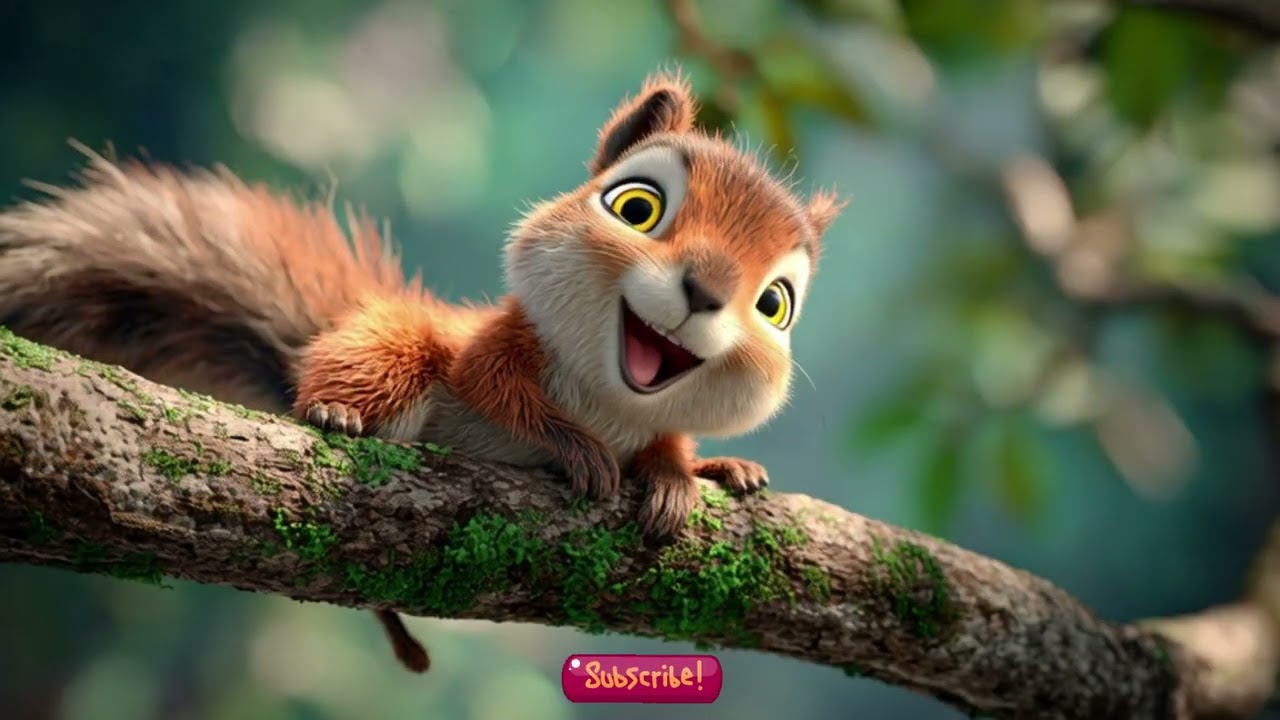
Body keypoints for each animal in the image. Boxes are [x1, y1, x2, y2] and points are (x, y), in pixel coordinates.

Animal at [0, 68, 843, 675]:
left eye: (776, 305)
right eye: (634, 207)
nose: (703, 291)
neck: (612, 400)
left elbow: (668, 444)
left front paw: (674, 476)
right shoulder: (491, 350)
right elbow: (498, 392)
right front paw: (575, 447)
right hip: (392, 347)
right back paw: (335, 411)